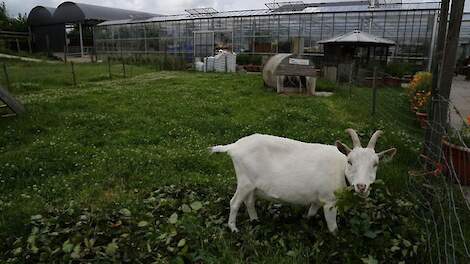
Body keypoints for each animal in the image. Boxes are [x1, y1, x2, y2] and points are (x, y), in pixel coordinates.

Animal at [211, 129, 394, 233]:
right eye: (350, 161)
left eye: (375, 164)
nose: (362, 186)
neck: (340, 169)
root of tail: (234, 147)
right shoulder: (329, 200)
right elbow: (333, 228)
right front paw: (336, 237)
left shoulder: (318, 198)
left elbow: (311, 213)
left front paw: (306, 222)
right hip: (245, 181)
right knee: (235, 202)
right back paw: (233, 228)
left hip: (251, 184)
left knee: (249, 201)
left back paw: (255, 220)